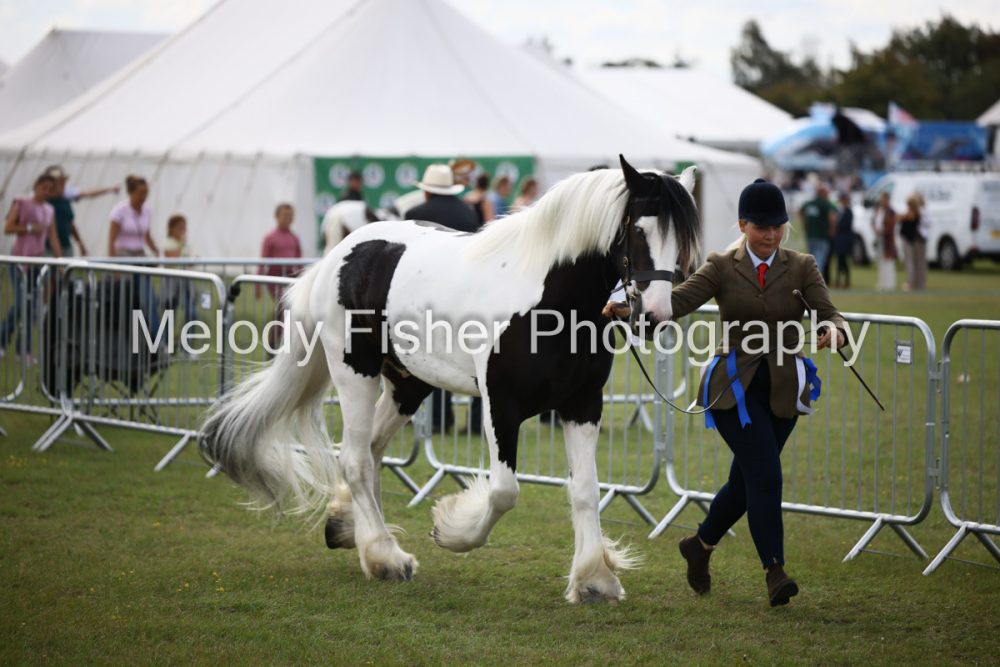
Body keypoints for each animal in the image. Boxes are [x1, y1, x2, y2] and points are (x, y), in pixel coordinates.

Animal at [200, 155, 701, 603]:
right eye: (638, 229)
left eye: (682, 241)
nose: (654, 316)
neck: (547, 301)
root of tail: (339, 255)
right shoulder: (501, 404)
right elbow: (503, 492)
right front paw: (450, 528)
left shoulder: (582, 404)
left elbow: (585, 490)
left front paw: (595, 579)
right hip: (355, 373)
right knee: (356, 459)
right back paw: (386, 558)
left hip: (407, 384)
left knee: (371, 452)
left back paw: (349, 529)